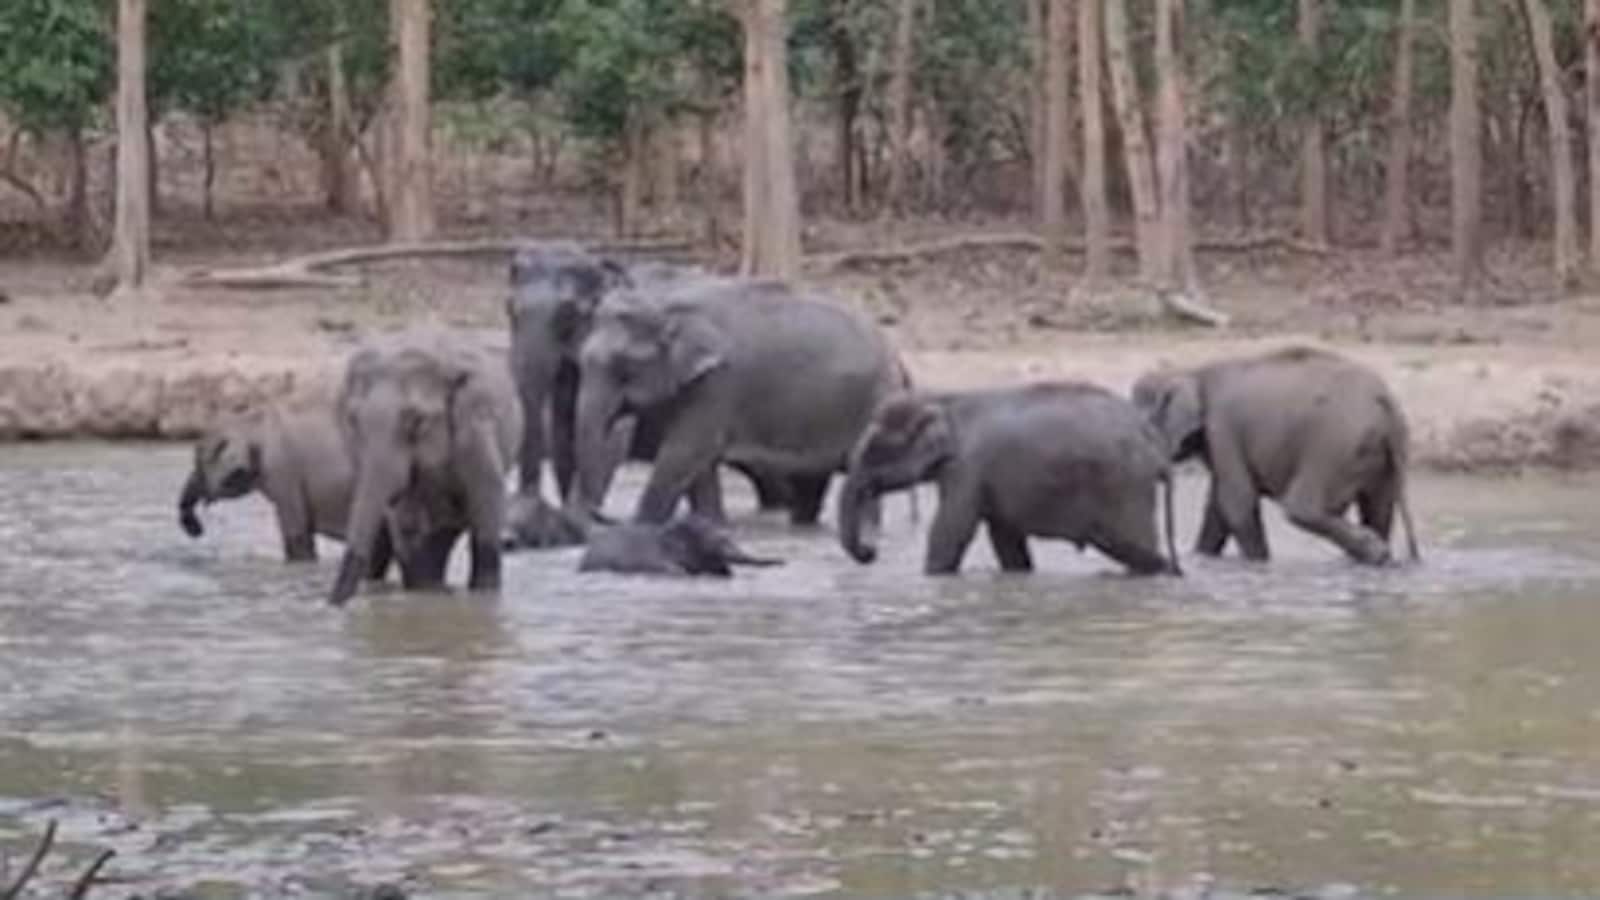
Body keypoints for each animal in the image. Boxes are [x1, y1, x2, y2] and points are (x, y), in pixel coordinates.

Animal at [328, 330, 523, 606]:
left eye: (417, 421)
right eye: (353, 420)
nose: (332, 604)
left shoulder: (476, 427)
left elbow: (487, 509)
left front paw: (482, 600)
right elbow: (408, 526)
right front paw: (426, 594)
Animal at [573, 278, 908, 529]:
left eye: (624, 367)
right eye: (582, 362)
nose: (601, 514)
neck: (668, 301)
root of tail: (897, 358)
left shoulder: (719, 383)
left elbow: (684, 451)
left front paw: (639, 525)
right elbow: (698, 463)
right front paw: (711, 525)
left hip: (873, 405)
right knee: (811, 482)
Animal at [837, 382, 1181, 575]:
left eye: (875, 451)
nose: (870, 552)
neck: (945, 399)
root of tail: (1151, 435)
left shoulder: (967, 468)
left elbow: (951, 531)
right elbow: (1005, 539)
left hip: (1125, 487)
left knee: (1135, 548)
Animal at [1131, 346, 1420, 565]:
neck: (1190, 371)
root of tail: (1384, 401)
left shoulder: (1221, 429)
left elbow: (1237, 501)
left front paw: (1259, 564)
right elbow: (1217, 508)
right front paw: (1202, 559)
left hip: (1333, 445)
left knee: (1301, 507)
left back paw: (1374, 551)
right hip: (1379, 454)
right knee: (1379, 508)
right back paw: (1375, 556)